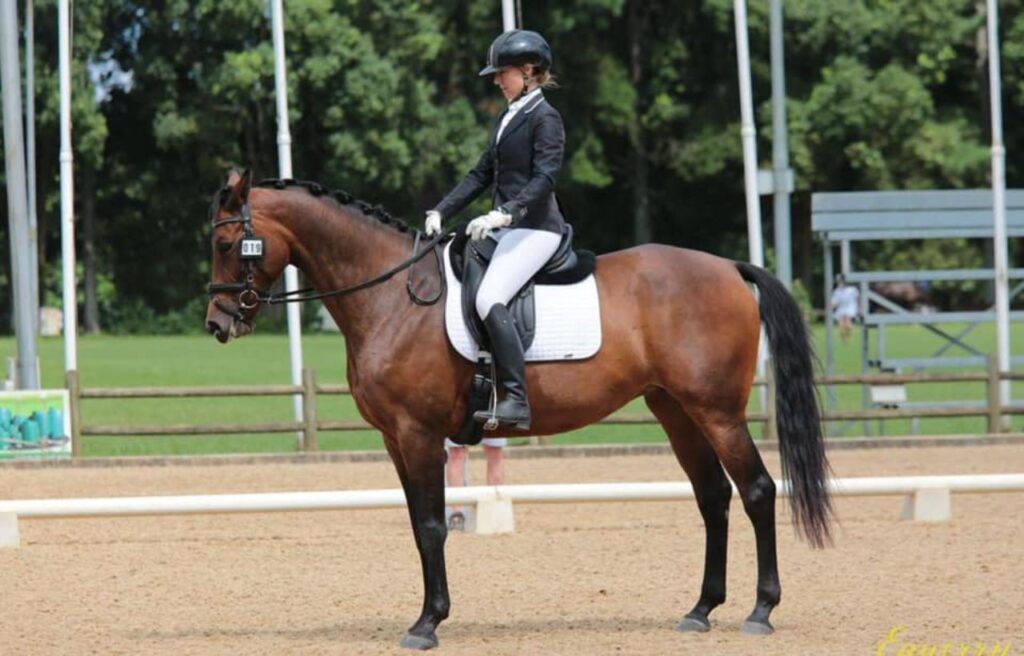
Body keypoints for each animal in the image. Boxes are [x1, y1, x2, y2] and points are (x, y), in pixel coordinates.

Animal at [204, 170, 832, 649]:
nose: (217, 325)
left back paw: (760, 611)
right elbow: (418, 525)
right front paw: (428, 614)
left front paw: (427, 624)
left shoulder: (418, 433)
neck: (391, 297)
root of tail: (728, 267)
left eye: (228, 245)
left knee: (756, 490)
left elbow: (432, 525)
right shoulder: (394, 439)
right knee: (713, 497)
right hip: (675, 410)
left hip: (717, 411)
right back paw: (701, 610)